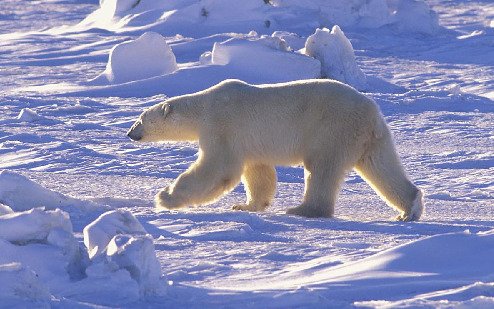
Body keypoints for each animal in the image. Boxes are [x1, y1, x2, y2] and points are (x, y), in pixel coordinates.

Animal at [127, 78, 424, 220]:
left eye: (140, 119)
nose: (130, 133)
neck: (204, 106)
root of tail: (372, 113)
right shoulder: (249, 142)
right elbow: (258, 172)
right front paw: (246, 205)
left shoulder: (222, 126)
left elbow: (218, 168)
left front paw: (164, 197)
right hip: (372, 139)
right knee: (382, 167)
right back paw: (409, 209)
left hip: (331, 129)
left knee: (322, 169)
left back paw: (303, 209)